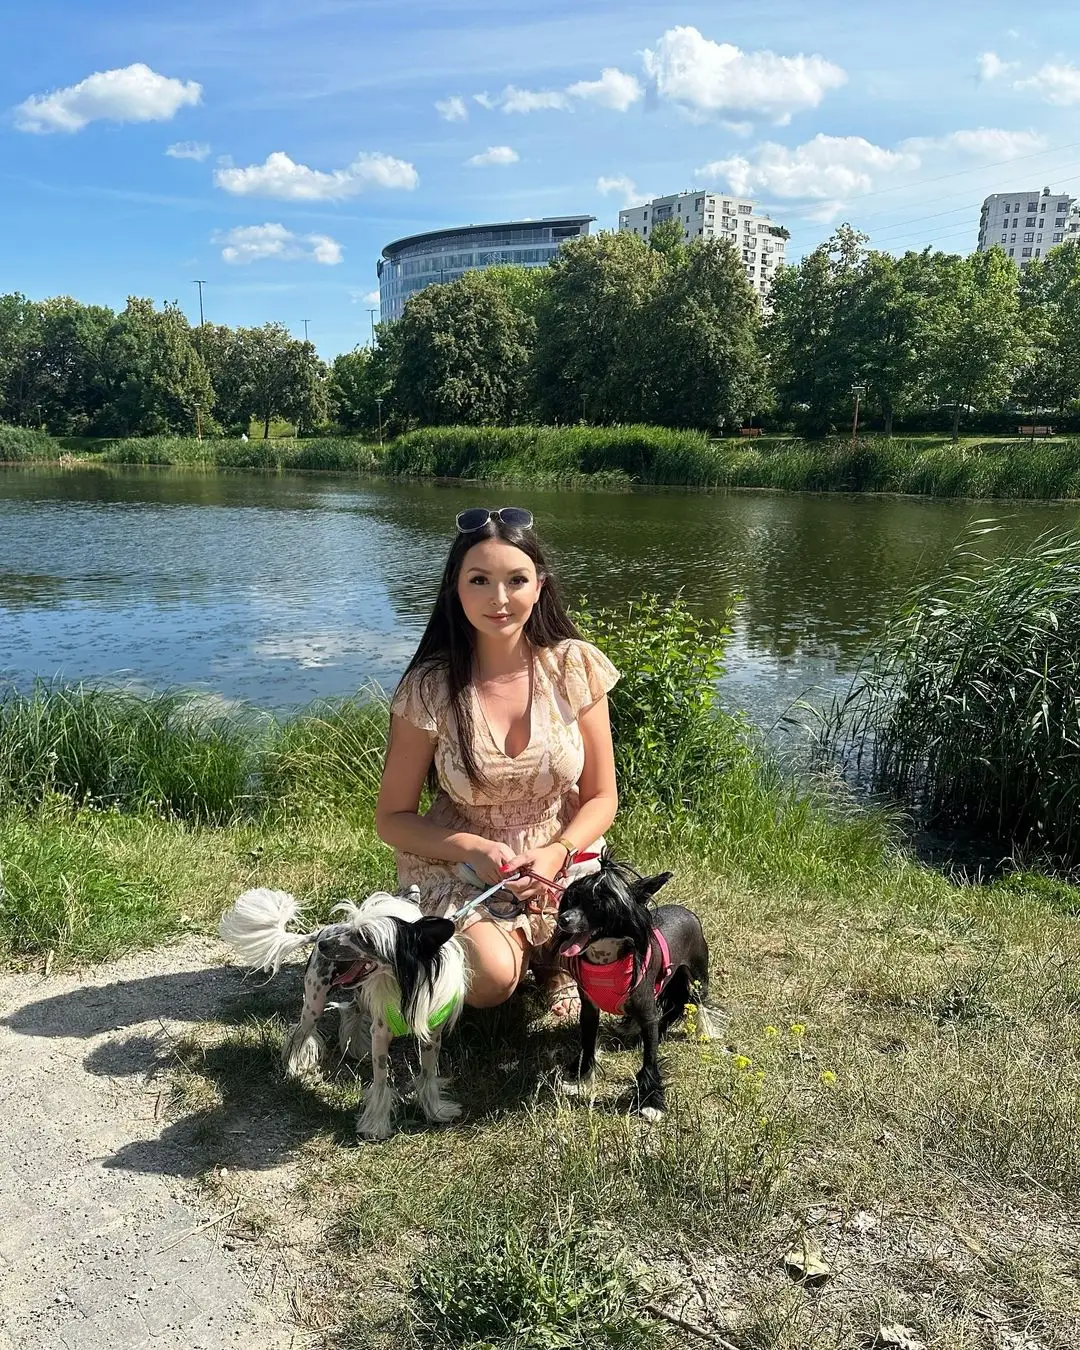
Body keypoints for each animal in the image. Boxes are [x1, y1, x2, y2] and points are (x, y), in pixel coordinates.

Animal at [220, 885, 467, 1139]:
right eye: (353, 927)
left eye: (364, 937)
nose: (323, 945)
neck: (404, 983)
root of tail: (323, 929)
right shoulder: (381, 1033)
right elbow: (381, 1082)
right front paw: (375, 1125)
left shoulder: (432, 1036)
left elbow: (428, 1074)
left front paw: (435, 1111)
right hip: (314, 1004)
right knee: (300, 1032)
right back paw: (293, 1067)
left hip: (358, 994)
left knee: (351, 1010)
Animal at [553, 853, 712, 1117]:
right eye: (572, 900)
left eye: (598, 905)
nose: (563, 919)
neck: (607, 959)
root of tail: (687, 911)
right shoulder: (589, 1010)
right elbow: (588, 1044)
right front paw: (581, 1080)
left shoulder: (647, 1012)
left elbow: (650, 1058)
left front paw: (650, 1102)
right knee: (675, 1006)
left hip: (698, 973)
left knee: (697, 1002)